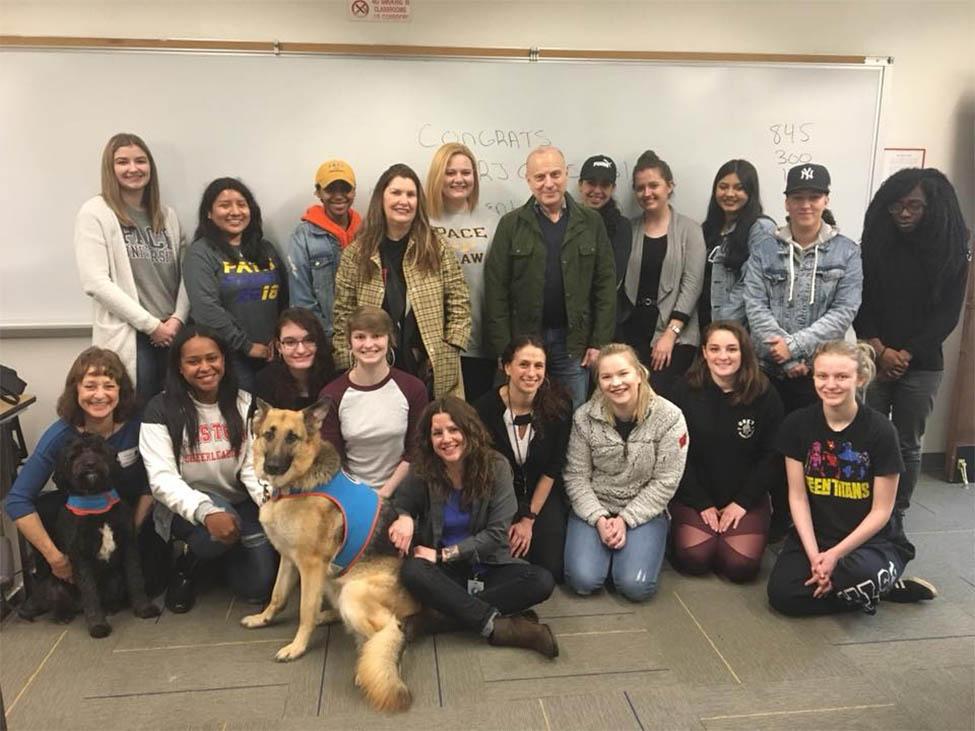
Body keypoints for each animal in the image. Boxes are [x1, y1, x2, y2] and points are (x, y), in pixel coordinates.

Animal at [51, 434, 160, 636]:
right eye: (74, 455)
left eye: (98, 450)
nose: (90, 464)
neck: (96, 503)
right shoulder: (81, 557)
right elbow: (90, 593)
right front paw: (98, 625)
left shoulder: (129, 545)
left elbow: (136, 579)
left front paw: (144, 608)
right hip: (57, 585)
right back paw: (63, 615)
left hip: (116, 580)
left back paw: (111, 607)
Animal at [243, 400, 420, 716]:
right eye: (269, 434)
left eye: (293, 437)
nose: (272, 466)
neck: (298, 483)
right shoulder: (288, 560)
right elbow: (277, 596)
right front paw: (263, 618)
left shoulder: (310, 566)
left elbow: (304, 611)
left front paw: (297, 647)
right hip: (331, 579)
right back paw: (327, 615)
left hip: (351, 591)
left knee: (389, 631)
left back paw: (367, 661)